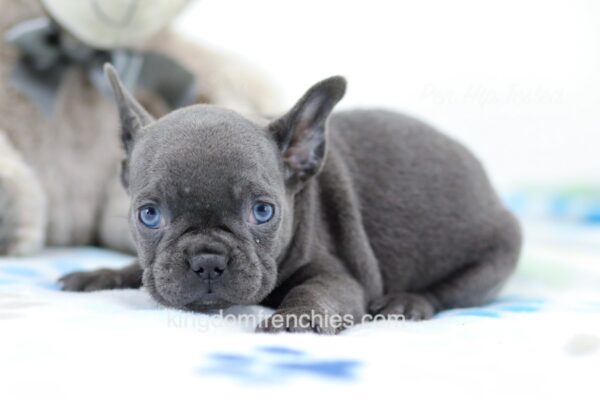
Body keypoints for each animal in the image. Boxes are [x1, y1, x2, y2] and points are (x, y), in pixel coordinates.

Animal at [59, 65, 520, 334]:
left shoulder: (341, 277)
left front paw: (296, 320)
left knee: (450, 293)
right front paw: (101, 273)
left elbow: (316, 292)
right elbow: (139, 269)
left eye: (263, 212)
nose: (207, 260)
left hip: (492, 258)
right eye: (149, 215)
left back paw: (406, 302)